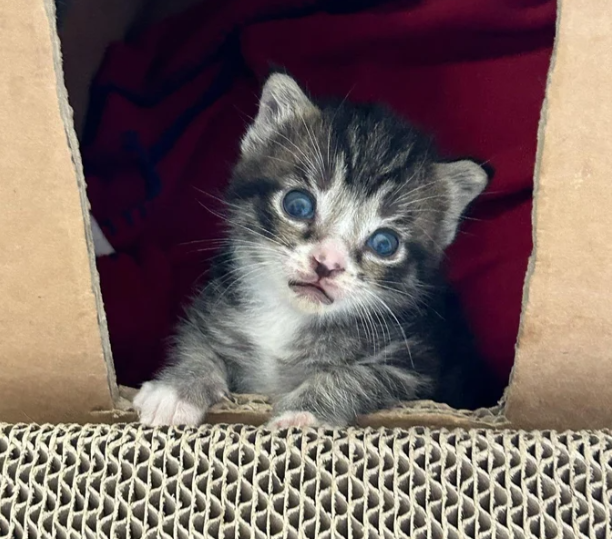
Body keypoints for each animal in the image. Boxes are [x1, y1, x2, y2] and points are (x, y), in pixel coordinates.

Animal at [133, 73, 492, 430]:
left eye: (384, 243)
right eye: (298, 205)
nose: (326, 263)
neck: (288, 316)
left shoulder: (412, 366)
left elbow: (358, 376)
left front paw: (302, 415)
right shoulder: (210, 310)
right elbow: (197, 343)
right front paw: (178, 389)